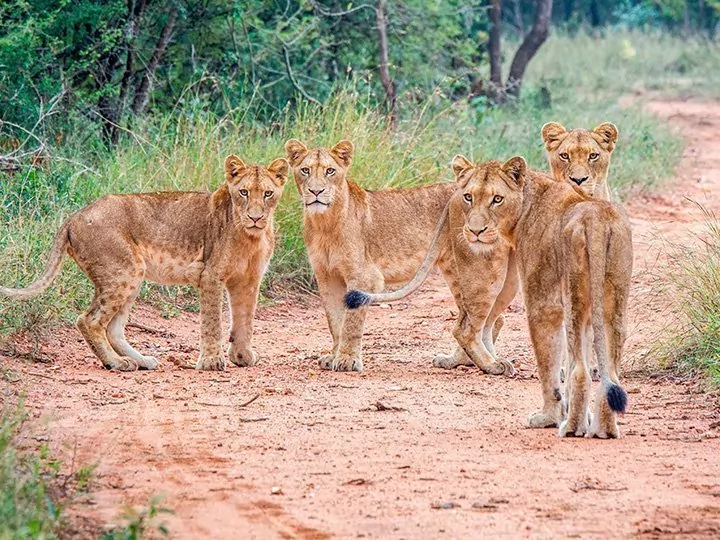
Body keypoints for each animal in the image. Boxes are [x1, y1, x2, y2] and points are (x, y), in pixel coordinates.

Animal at [0, 154, 286, 370]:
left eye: (268, 193)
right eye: (244, 192)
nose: (255, 217)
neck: (252, 237)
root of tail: (74, 217)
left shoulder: (248, 280)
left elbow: (245, 319)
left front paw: (242, 356)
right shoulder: (211, 275)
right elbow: (213, 322)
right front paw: (211, 362)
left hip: (129, 276)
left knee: (113, 329)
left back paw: (141, 361)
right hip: (124, 271)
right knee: (89, 321)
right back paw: (116, 364)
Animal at [284, 139, 516, 376]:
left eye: (330, 171)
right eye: (305, 170)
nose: (316, 191)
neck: (324, 223)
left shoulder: (364, 277)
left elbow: (350, 322)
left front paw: (347, 360)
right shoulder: (326, 277)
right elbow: (335, 321)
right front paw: (333, 357)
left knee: (475, 321)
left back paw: (482, 363)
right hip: (455, 271)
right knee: (484, 319)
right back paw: (459, 361)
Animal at [348, 156, 632, 438]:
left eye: (497, 199)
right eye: (469, 197)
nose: (475, 231)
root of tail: (595, 222)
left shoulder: (543, 303)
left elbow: (550, 368)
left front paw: (550, 418)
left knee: (577, 370)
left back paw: (569, 427)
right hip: (606, 302)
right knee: (610, 370)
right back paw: (604, 430)